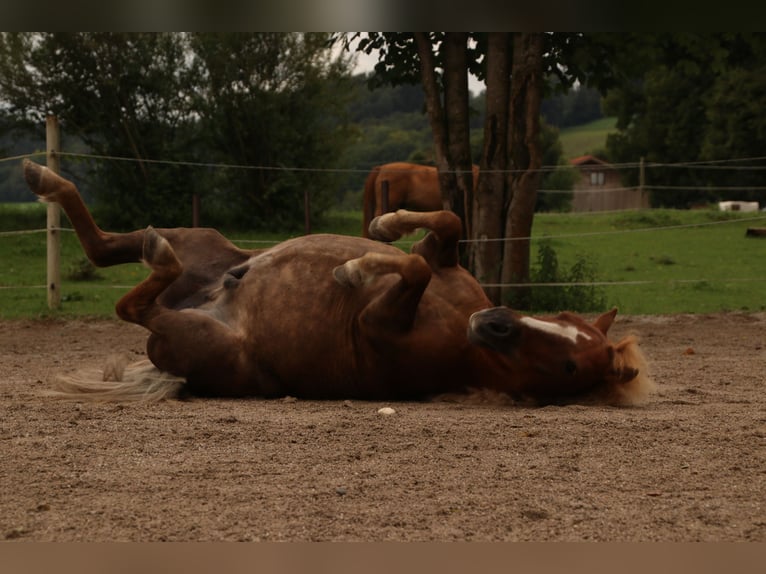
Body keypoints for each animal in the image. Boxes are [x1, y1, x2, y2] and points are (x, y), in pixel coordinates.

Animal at [22, 160, 656, 408]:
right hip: (201, 238)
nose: (494, 322)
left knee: (137, 305)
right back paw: (43, 176)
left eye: (571, 367)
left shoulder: (376, 325)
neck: (459, 331)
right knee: (104, 249)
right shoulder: (443, 259)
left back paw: (157, 257)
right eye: (564, 323)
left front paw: (353, 268)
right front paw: (384, 228)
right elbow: (444, 229)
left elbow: (412, 268)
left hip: (198, 339)